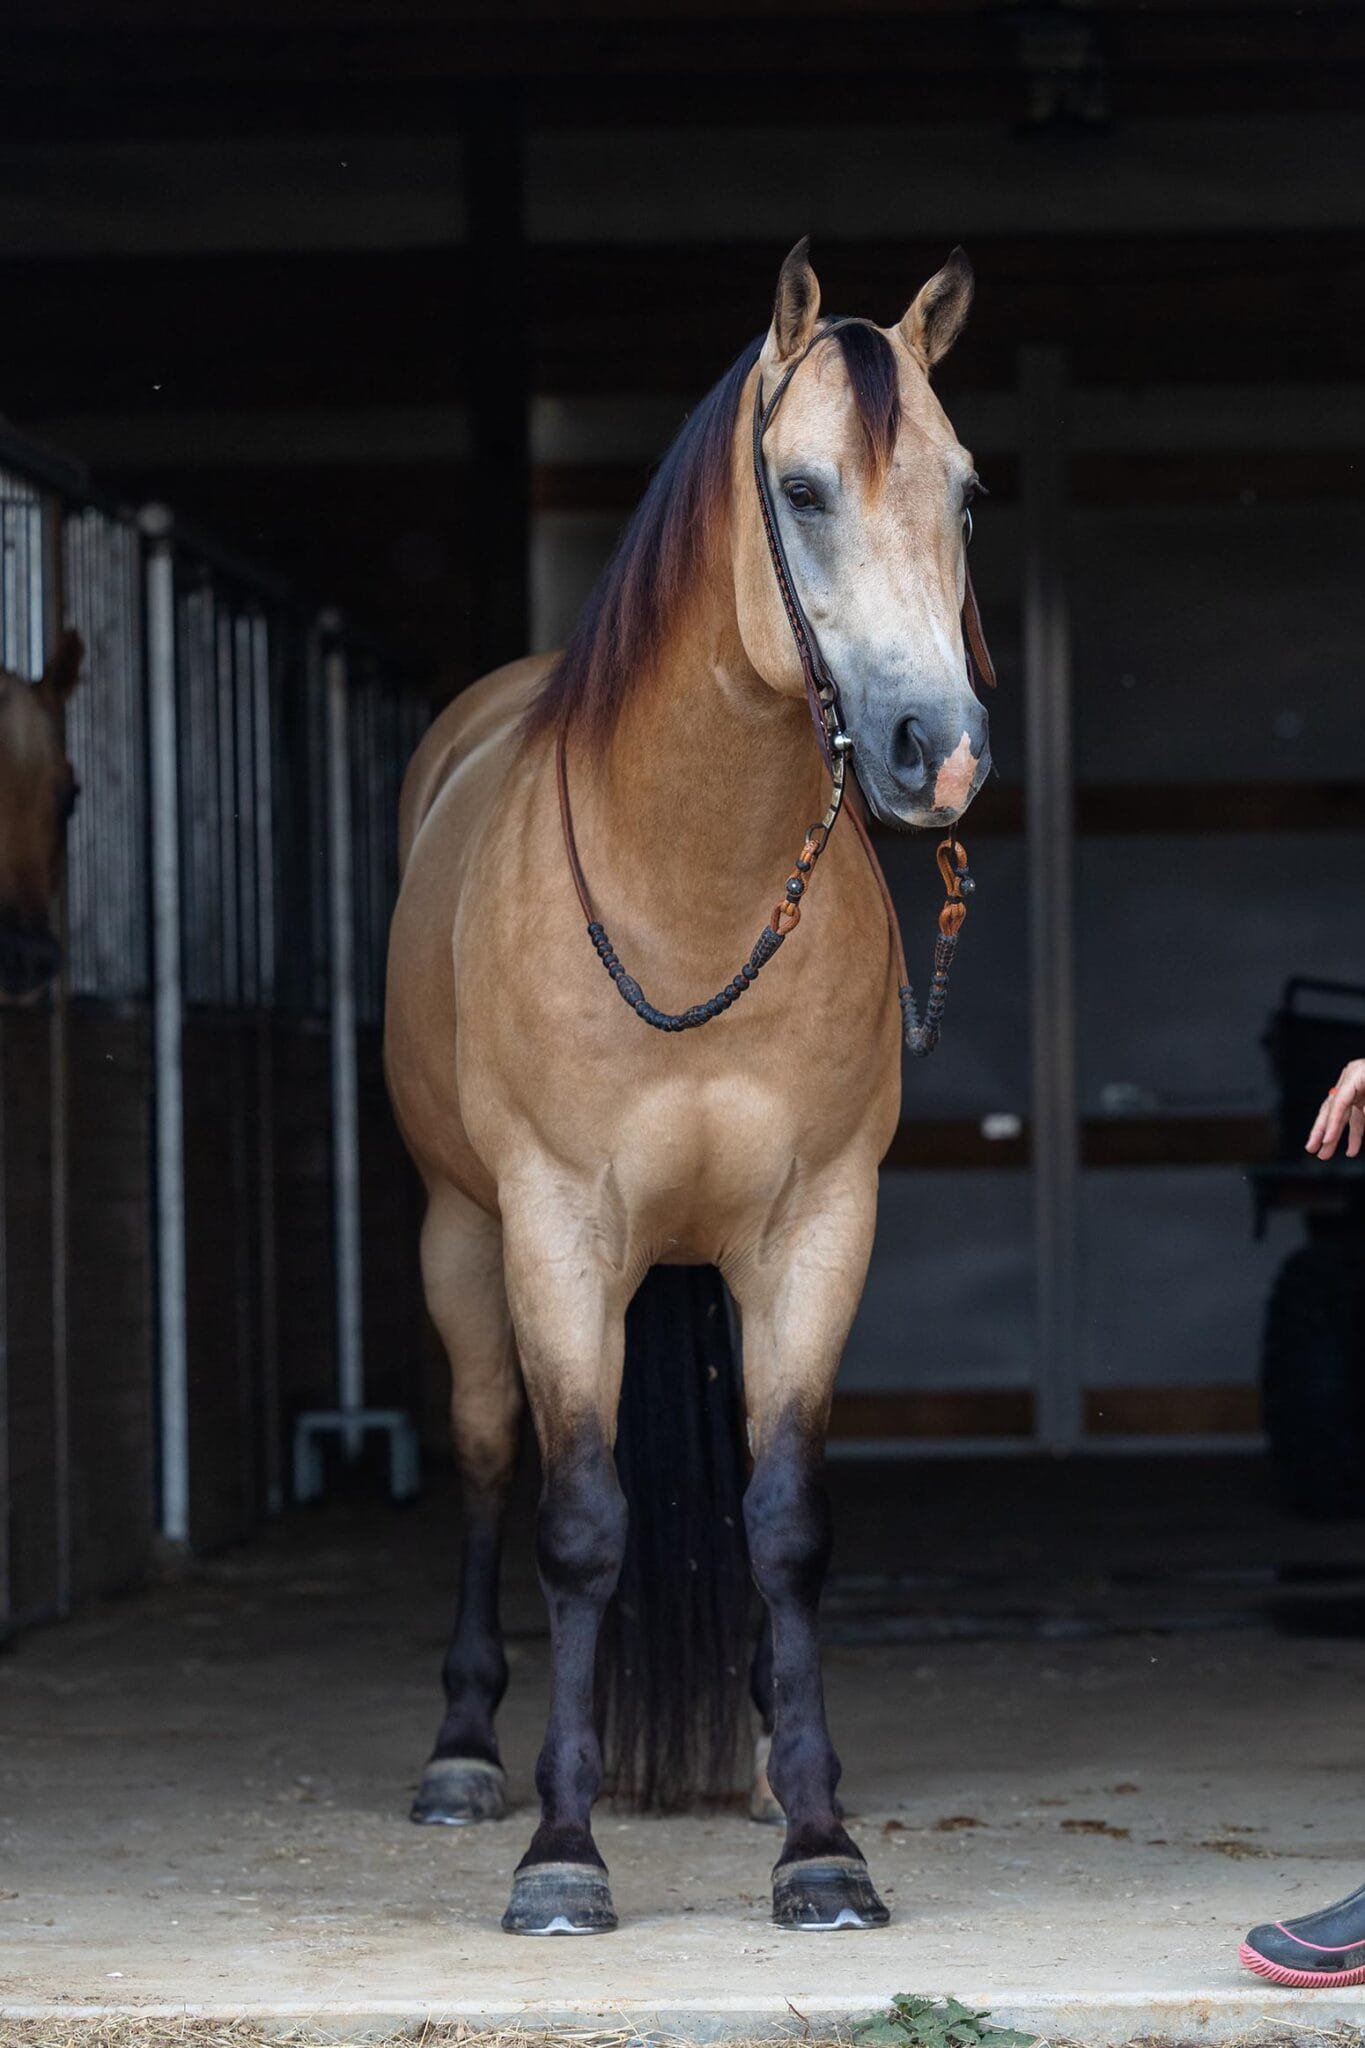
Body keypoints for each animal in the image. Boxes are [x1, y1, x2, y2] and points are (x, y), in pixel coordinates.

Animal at [384, 239, 991, 1936]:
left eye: (965, 494)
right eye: (800, 489)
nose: (940, 752)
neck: (691, 884)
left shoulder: (814, 1232)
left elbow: (784, 1527)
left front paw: (821, 1841)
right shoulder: (555, 1229)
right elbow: (581, 1522)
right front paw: (561, 1852)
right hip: (461, 1239)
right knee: (483, 1458)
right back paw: (464, 1756)